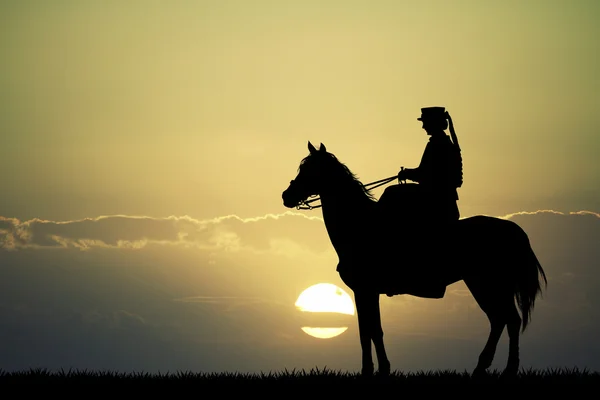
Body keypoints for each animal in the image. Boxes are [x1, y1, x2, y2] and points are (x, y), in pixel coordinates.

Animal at [282, 141, 548, 378]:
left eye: (309, 169)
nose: (286, 195)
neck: (361, 226)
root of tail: (513, 230)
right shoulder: (367, 291)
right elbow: (372, 330)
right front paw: (381, 369)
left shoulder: (364, 289)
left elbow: (369, 331)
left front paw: (372, 370)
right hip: (489, 285)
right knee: (503, 320)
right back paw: (486, 368)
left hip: (486, 284)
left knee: (506, 319)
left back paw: (504, 369)